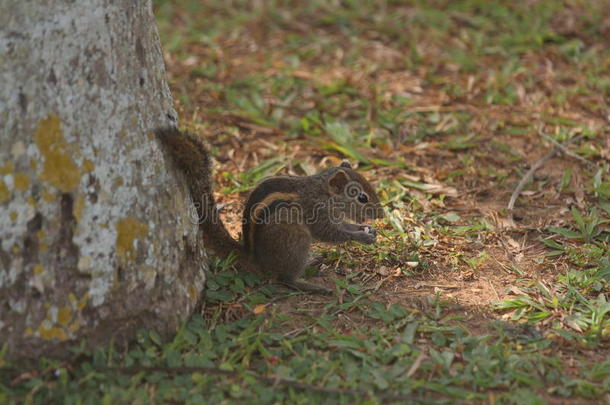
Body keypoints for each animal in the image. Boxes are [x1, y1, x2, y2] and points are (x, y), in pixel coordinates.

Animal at [154, 129, 382, 294]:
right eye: (362, 198)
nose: (380, 214)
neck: (323, 193)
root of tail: (256, 259)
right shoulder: (316, 213)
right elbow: (331, 234)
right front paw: (362, 236)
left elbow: (344, 226)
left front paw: (365, 228)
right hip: (296, 242)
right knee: (285, 279)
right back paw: (311, 285)